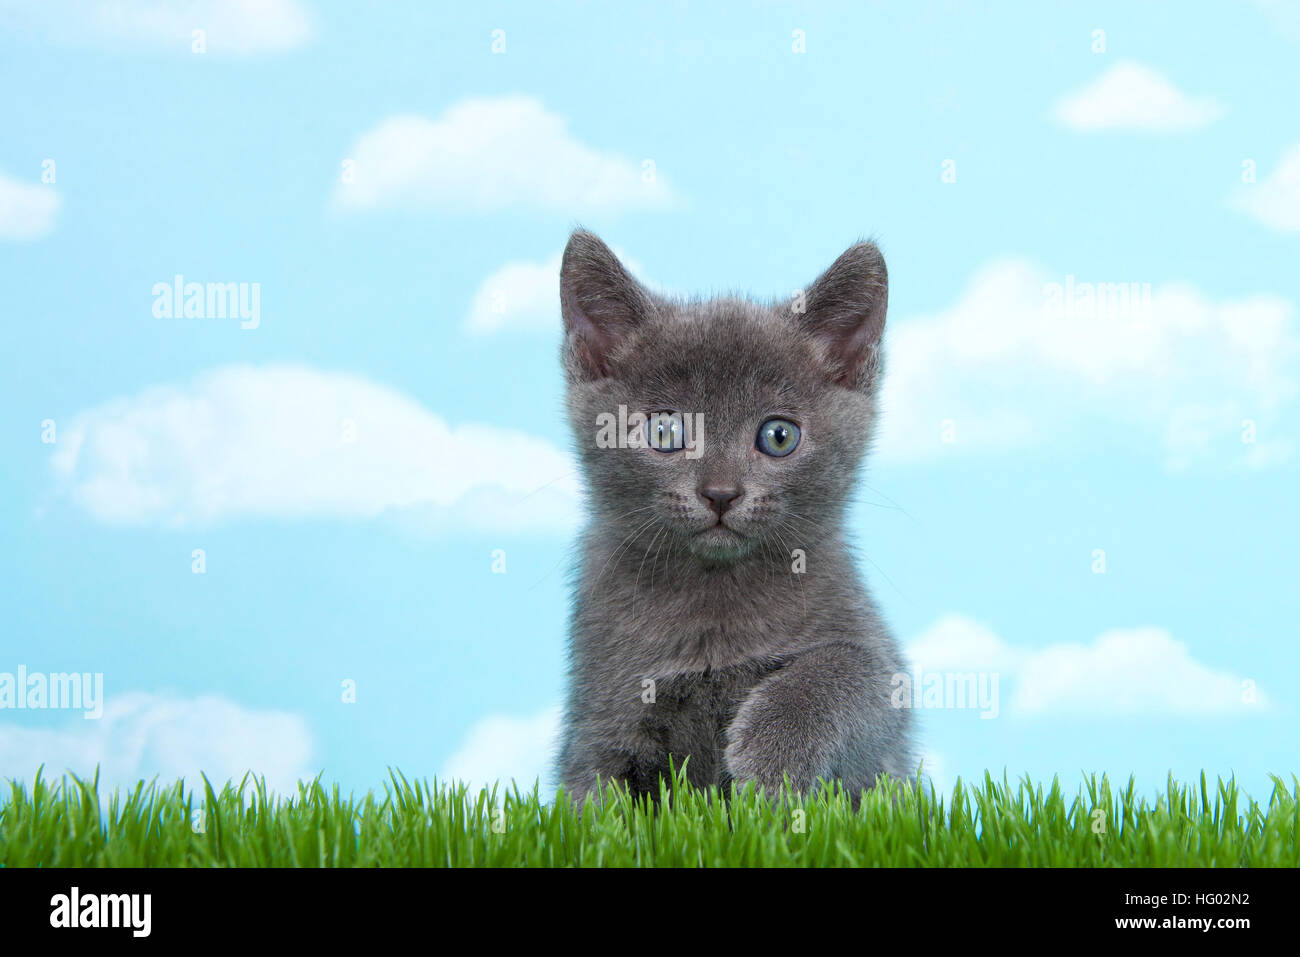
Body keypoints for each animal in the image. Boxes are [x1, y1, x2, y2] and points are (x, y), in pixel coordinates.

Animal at [559, 231, 915, 800]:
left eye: (778, 435)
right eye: (665, 431)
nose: (721, 493)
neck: (715, 600)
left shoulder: (883, 673)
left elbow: (848, 666)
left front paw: (773, 752)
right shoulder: (601, 715)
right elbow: (593, 798)